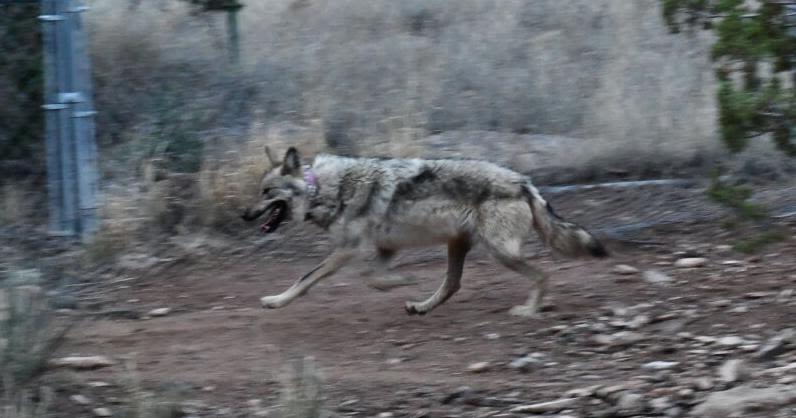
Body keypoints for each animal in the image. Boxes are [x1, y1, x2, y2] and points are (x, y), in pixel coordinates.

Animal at [239, 147, 608, 316]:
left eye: (267, 193)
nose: (244, 215)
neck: (324, 189)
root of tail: (525, 182)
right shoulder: (384, 249)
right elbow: (371, 277)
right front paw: (399, 282)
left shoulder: (349, 249)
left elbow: (306, 278)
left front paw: (276, 301)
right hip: (459, 246)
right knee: (452, 285)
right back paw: (421, 307)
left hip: (500, 252)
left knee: (543, 274)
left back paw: (529, 311)